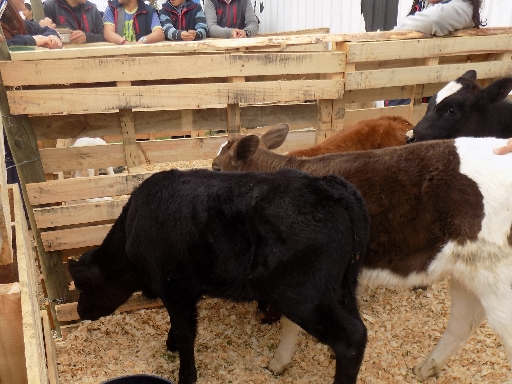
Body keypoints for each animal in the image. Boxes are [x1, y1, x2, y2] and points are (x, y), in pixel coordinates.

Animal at [70, 170, 370, 384]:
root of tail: (329, 185)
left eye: (83, 287)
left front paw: (186, 375)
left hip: (304, 295)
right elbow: (179, 326)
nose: (80, 312)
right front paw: (170, 344)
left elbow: (185, 332)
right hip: (338, 288)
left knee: (352, 338)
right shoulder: (186, 291)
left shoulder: (175, 289)